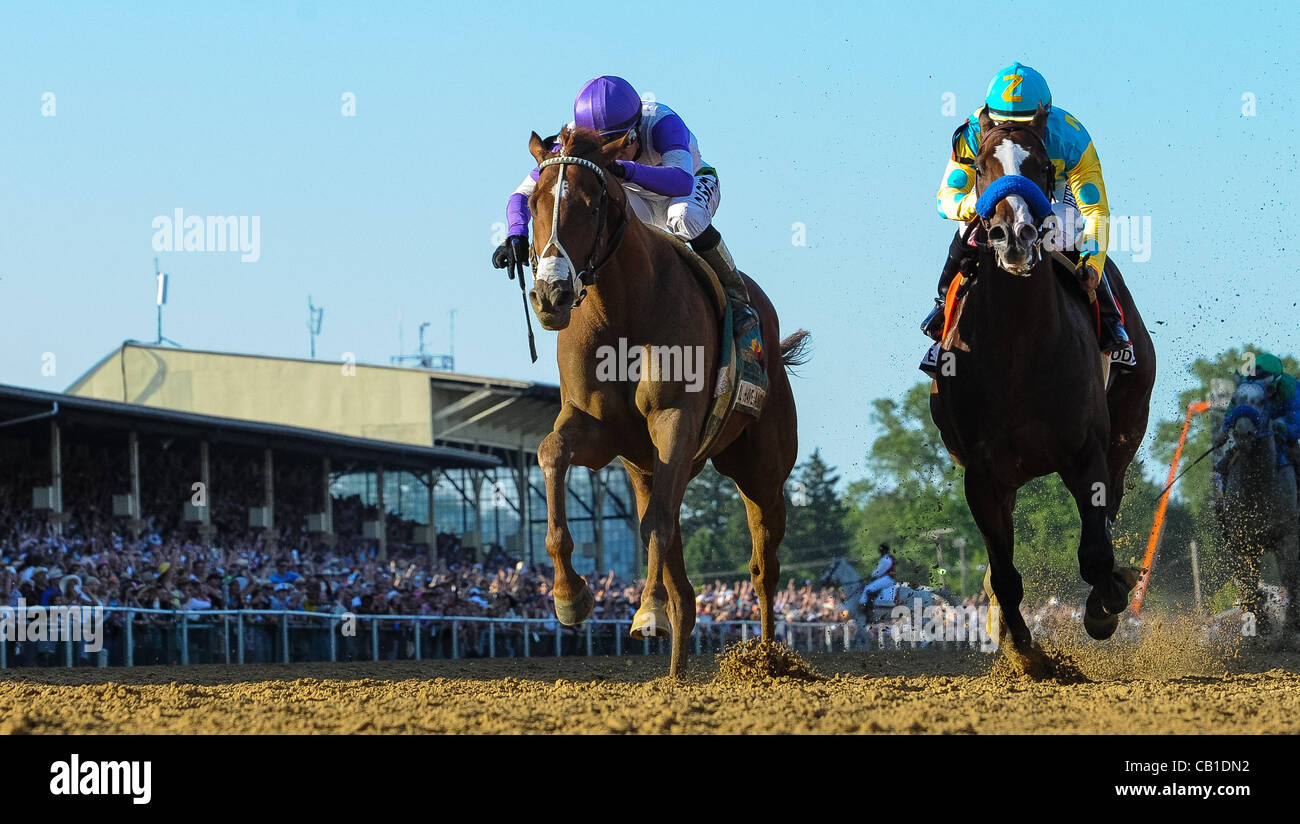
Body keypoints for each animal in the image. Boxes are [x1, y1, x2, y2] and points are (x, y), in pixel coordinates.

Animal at [520, 126, 806, 675]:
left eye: (591, 204)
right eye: (533, 202)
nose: (550, 295)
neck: (621, 314)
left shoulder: (674, 421)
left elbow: (655, 526)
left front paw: (645, 612)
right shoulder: (595, 428)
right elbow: (550, 454)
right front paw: (570, 595)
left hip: (761, 468)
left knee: (763, 568)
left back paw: (767, 661)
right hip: (649, 470)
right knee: (685, 588)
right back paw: (675, 676)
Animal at [930, 103, 1154, 660]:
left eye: (1038, 165)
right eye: (981, 165)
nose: (1015, 237)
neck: (1017, 347)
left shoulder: (1086, 451)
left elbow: (1096, 551)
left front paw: (1104, 607)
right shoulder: (981, 474)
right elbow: (1003, 573)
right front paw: (1026, 653)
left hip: (1129, 422)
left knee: (1114, 500)